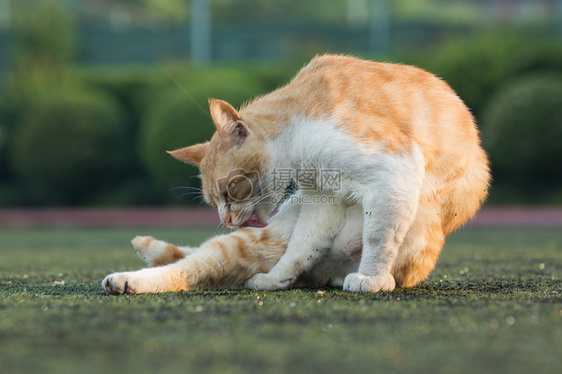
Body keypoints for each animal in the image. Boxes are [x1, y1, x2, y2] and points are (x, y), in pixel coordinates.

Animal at [103, 54, 488, 296]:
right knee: (195, 262)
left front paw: (371, 278)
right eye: (214, 201)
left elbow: (380, 238)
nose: (225, 220)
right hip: (260, 238)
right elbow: (302, 246)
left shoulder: (391, 174)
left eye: (230, 191)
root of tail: (327, 274)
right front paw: (278, 278)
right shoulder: (323, 201)